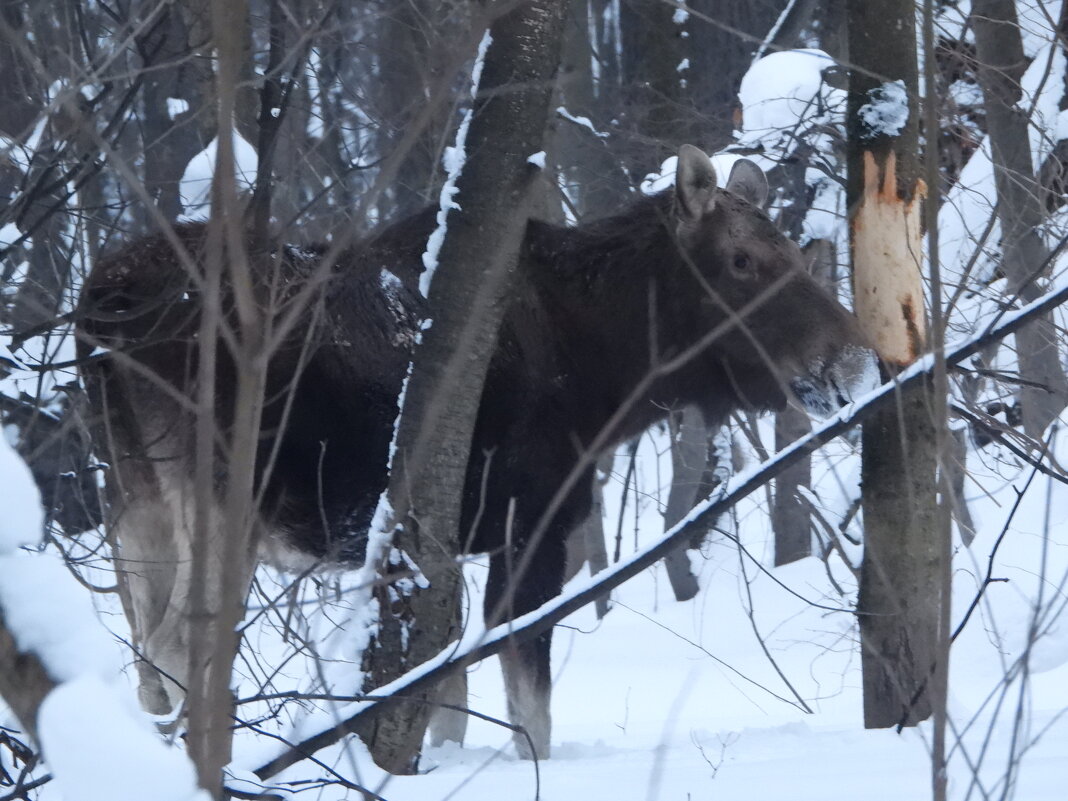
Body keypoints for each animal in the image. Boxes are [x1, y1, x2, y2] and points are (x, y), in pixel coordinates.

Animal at [77, 147, 875, 768]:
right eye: (742, 260)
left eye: (793, 252)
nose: (855, 360)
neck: (608, 371)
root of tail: (100, 306)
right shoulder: (531, 525)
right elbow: (529, 711)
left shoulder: (442, 542)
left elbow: (445, 695)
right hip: (221, 497)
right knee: (178, 645)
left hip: (133, 505)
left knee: (143, 657)